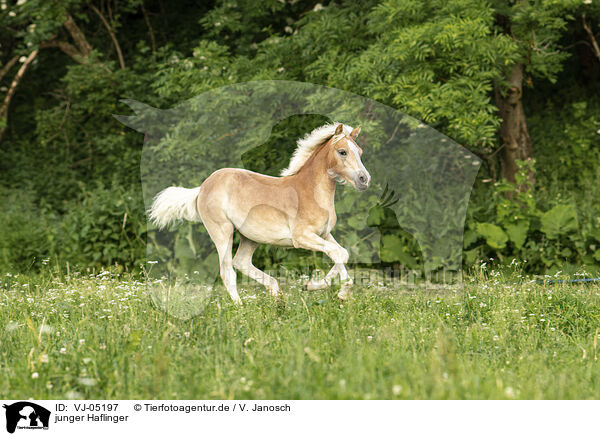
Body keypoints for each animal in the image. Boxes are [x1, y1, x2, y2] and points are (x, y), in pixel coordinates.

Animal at [149, 122, 370, 304]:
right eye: (342, 152)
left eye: (359, 151)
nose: (364, 179)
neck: (310, 192)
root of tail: (203, 187)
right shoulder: (302, 237)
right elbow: (337, 253)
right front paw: (342, 293)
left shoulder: (324, 234)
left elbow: (343, 254)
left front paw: (311, 286)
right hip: (222, 232)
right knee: (228, 272)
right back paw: (242, 310)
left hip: (250, 237)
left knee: (241, 262)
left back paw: (276, 295)